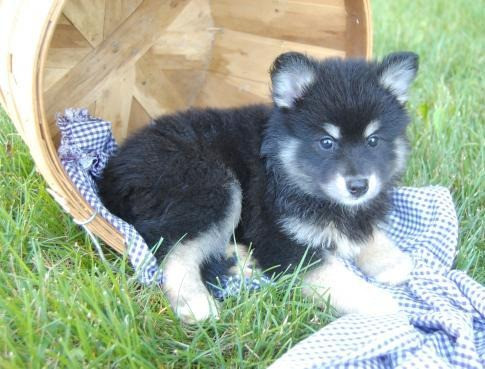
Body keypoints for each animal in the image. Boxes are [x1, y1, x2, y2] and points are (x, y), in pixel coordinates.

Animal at [97, 51, 416, 322]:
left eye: (373, 141)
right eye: (327, 142)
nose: (359, 186)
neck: (284, 168)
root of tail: (112, 170)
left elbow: (367, 231)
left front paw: (391, 261)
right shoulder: (281, 239)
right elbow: (334, 276)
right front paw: (379, 302)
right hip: (212, 187)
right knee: (174, 251)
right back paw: (196, 303)